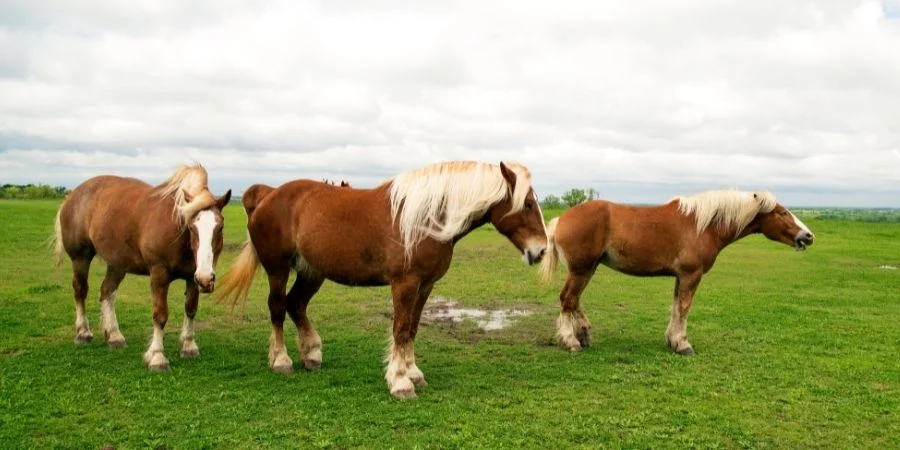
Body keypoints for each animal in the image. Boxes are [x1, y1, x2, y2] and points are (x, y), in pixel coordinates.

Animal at [52, 164, 232, 371]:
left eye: (219, 227)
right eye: (192, 227)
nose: (206, 279)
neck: (177, 232)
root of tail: (72, 195)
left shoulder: (192, 277)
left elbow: (191, 309)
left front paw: (188, 346)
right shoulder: (159, 275)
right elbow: (160, 315)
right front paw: (157, 356)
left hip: (117, 265)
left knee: (107, 292)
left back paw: (114, 336)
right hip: (80, 257)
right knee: (80, 290)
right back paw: (83, 333)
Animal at [217, 161, 548, 399]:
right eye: (527, 204)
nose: (541, 250)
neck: (427, 218)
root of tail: (267, 195)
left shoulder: (425, 286)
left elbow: (412, 328)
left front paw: (413, 373)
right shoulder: (405, 283)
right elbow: (400, 329)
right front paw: (400, 382)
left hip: (312, 272)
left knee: (296, 305)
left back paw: (311, 353)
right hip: (278, 268)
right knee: (277, 307)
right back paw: (281, 360)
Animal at [539, 189, 815, 355]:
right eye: (782, 212)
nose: (808, 236)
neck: (703, 224)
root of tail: (560, 220)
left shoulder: (680, 277)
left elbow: (675, 307)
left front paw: (672, 340)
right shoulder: (691, 275)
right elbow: (684, 308)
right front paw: (682, 344)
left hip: (588, 269)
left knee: (573, 301)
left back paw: (584, 333)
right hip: (581, 270)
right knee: (568, 300)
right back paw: (571, 340)